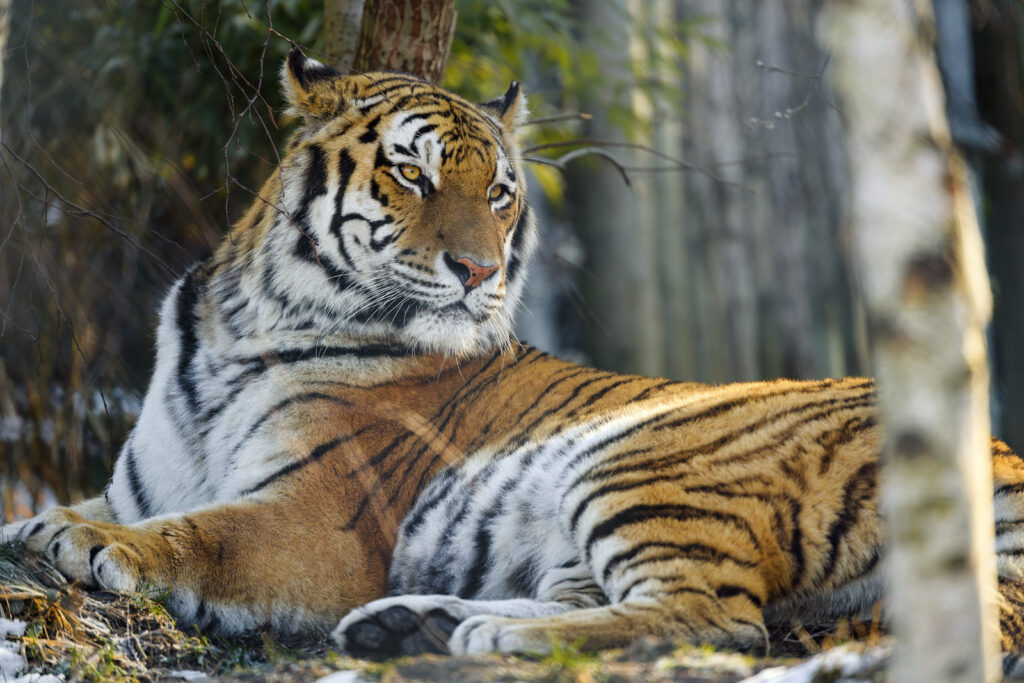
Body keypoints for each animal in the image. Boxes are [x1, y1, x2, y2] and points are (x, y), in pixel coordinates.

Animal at [3, 48, 1024, 661]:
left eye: (498, 193)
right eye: (411, 173)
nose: (480, 270)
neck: (242, 321)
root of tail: (998, 449)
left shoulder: (319, 517)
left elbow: (203, 532)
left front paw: (88, 544)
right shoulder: (145, 478)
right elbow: (91, 503)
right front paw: (34, 525)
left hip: (646, 459)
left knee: (718, 618)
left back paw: (487, 638)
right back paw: (418, 623)